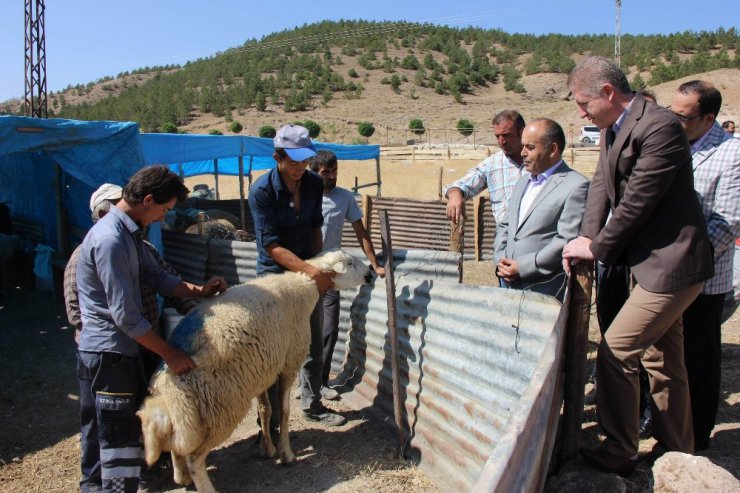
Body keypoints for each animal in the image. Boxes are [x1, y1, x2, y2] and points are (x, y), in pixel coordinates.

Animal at [135, 248, 370, 492]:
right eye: (350, 263)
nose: (370, 274)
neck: (304, 286)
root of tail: (166, 382)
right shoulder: (289, 362)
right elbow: (284, 411)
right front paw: (286, 454)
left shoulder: (261, 368)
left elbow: (265, 410)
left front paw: (268, 449)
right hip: (220, 408)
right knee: (194, 458)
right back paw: (204, 485)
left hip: (189, 416)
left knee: (176, 443)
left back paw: (182, 478)